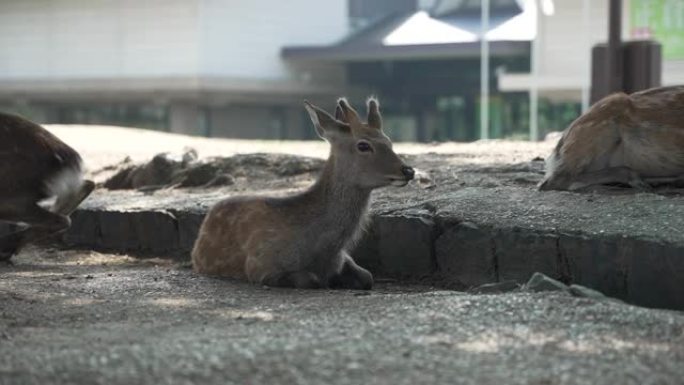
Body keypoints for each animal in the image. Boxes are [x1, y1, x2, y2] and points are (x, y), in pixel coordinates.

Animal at [190, 97, 414, 288]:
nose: (408, 170)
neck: (321, 252)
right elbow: (311, 280)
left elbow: (368, 277)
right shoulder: (260, 267)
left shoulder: (344, 257)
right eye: (363, 145)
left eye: (389, 141)